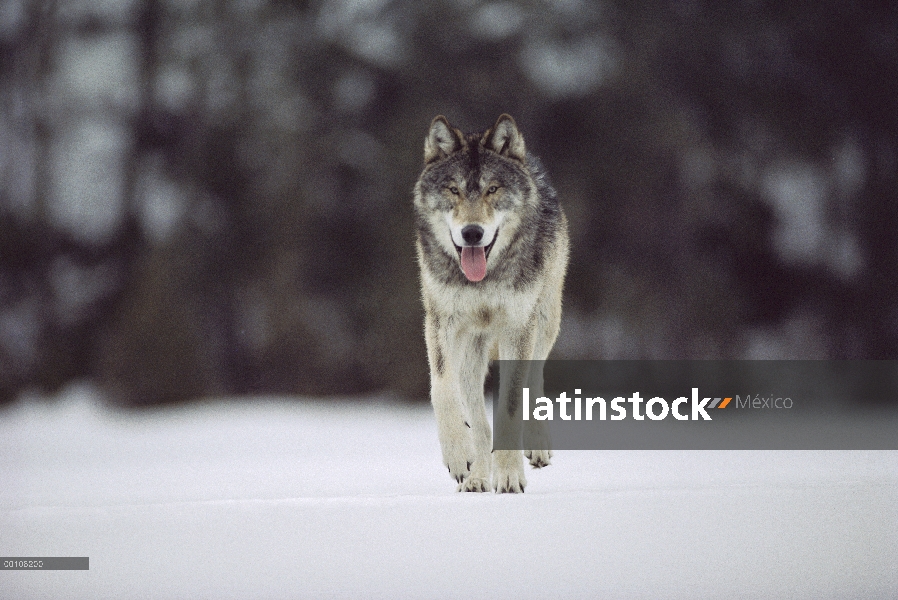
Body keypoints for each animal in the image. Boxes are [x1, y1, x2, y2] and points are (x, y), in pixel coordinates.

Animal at [412, 112, 568, 492]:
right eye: (453, 190)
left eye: (492, 189)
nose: (472, 233)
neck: (483, 280)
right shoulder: (440, 323)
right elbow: (441, 389)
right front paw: (460, 457)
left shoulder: (518, 327)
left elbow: (511, 403)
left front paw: (510, 475)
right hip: (472, 352)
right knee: (478, 420)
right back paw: (477, 476)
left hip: (545, 322)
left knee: (534, 380)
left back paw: (535, 447)